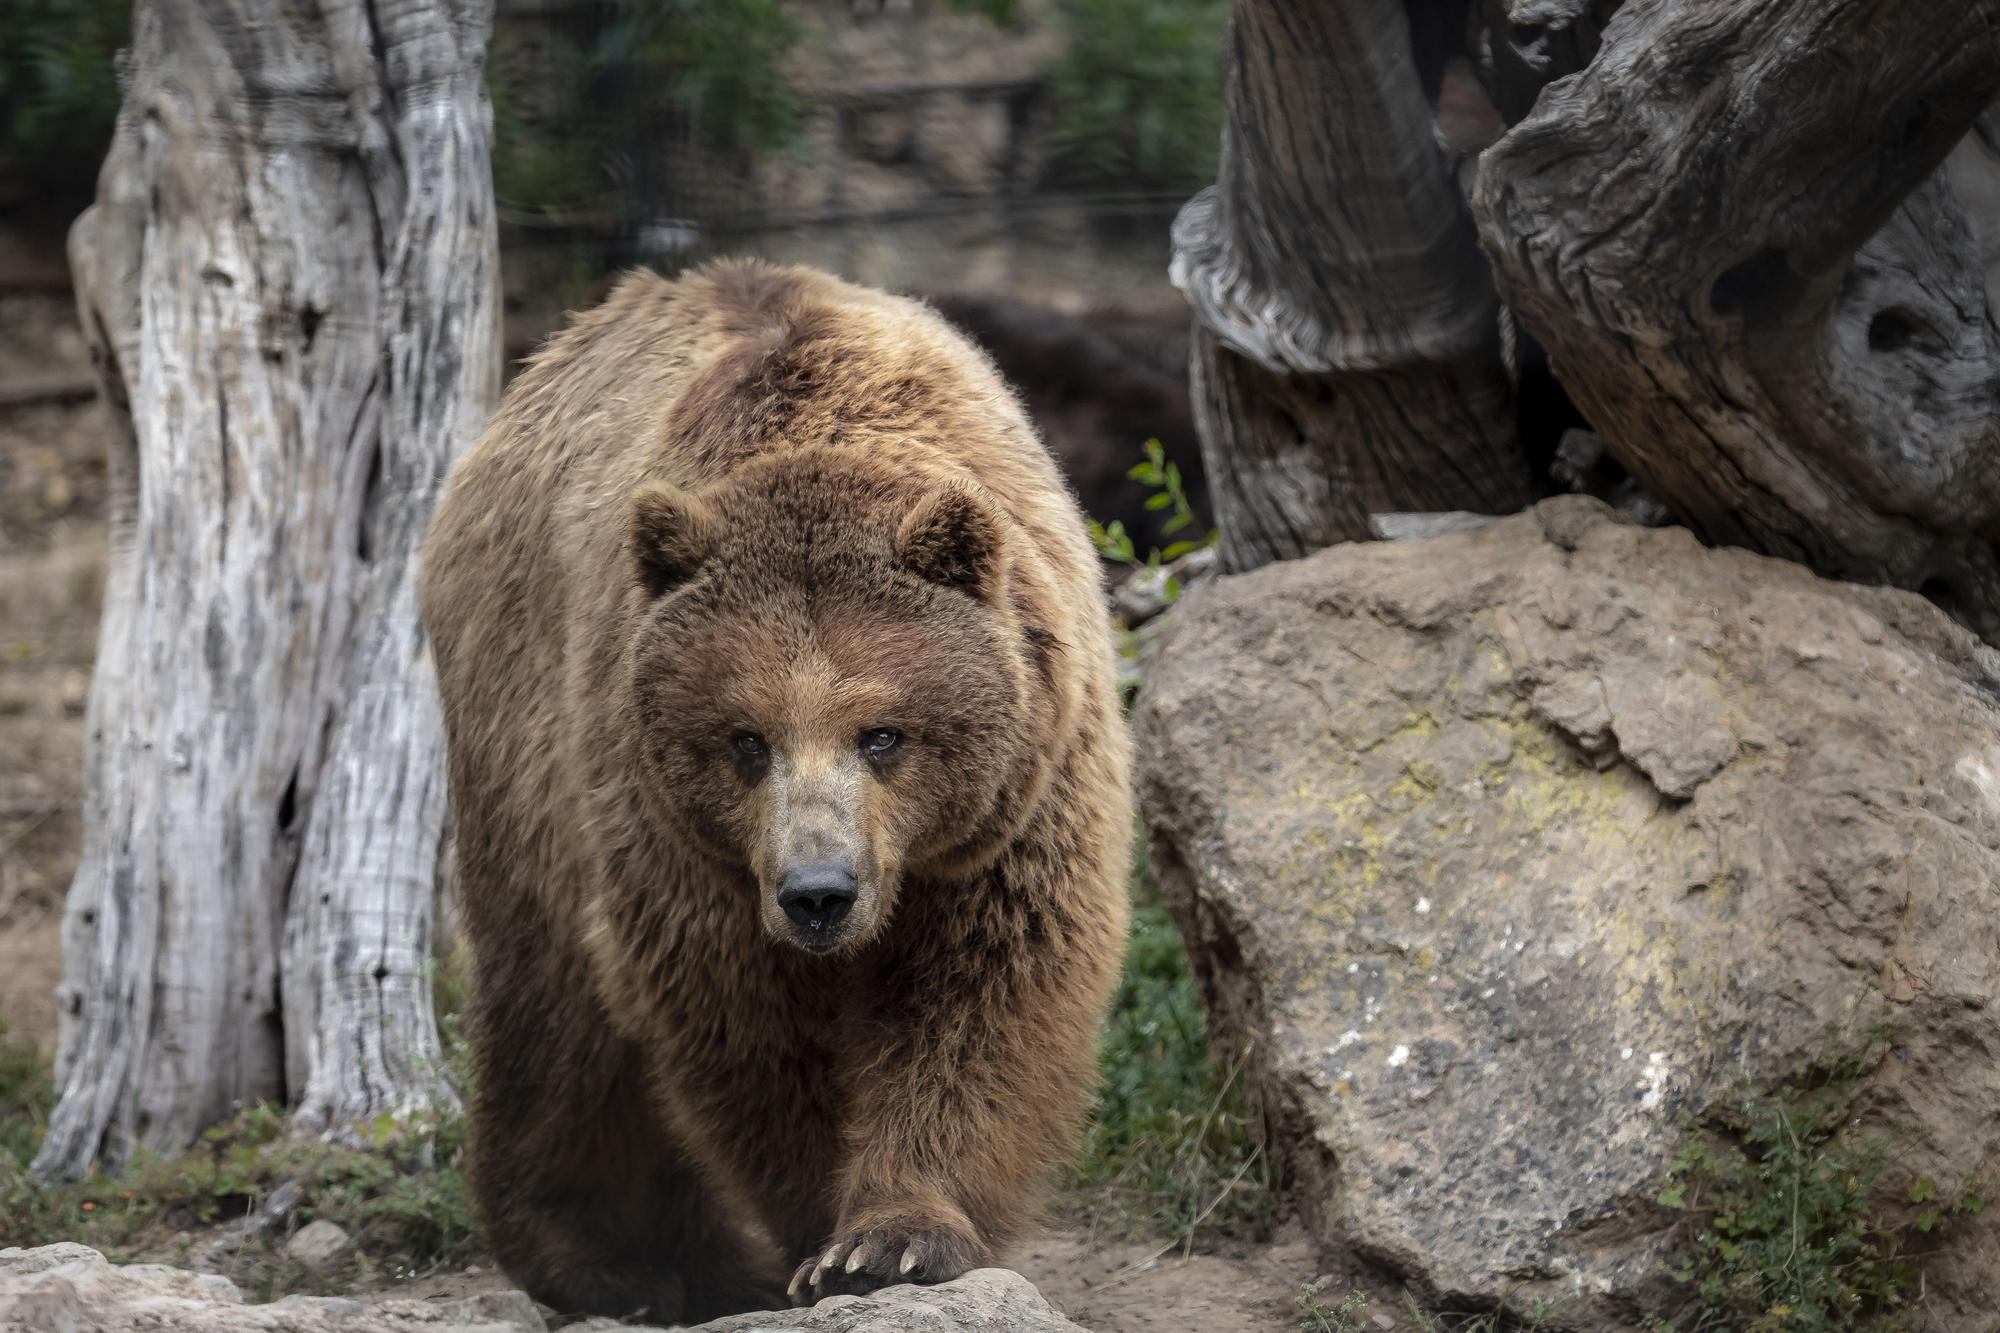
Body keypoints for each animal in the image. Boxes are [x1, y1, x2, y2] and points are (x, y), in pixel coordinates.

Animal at [418, 254, 1144, 1312]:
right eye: (745, 739)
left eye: (883, 733)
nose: (817, 893)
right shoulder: (688, 843)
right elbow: (751, 1034)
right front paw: (815, 1235)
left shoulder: (1014, 807)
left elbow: (983, 996)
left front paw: (895, 1237)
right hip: (521, 727)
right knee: (554, 1004)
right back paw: (613, 1258)